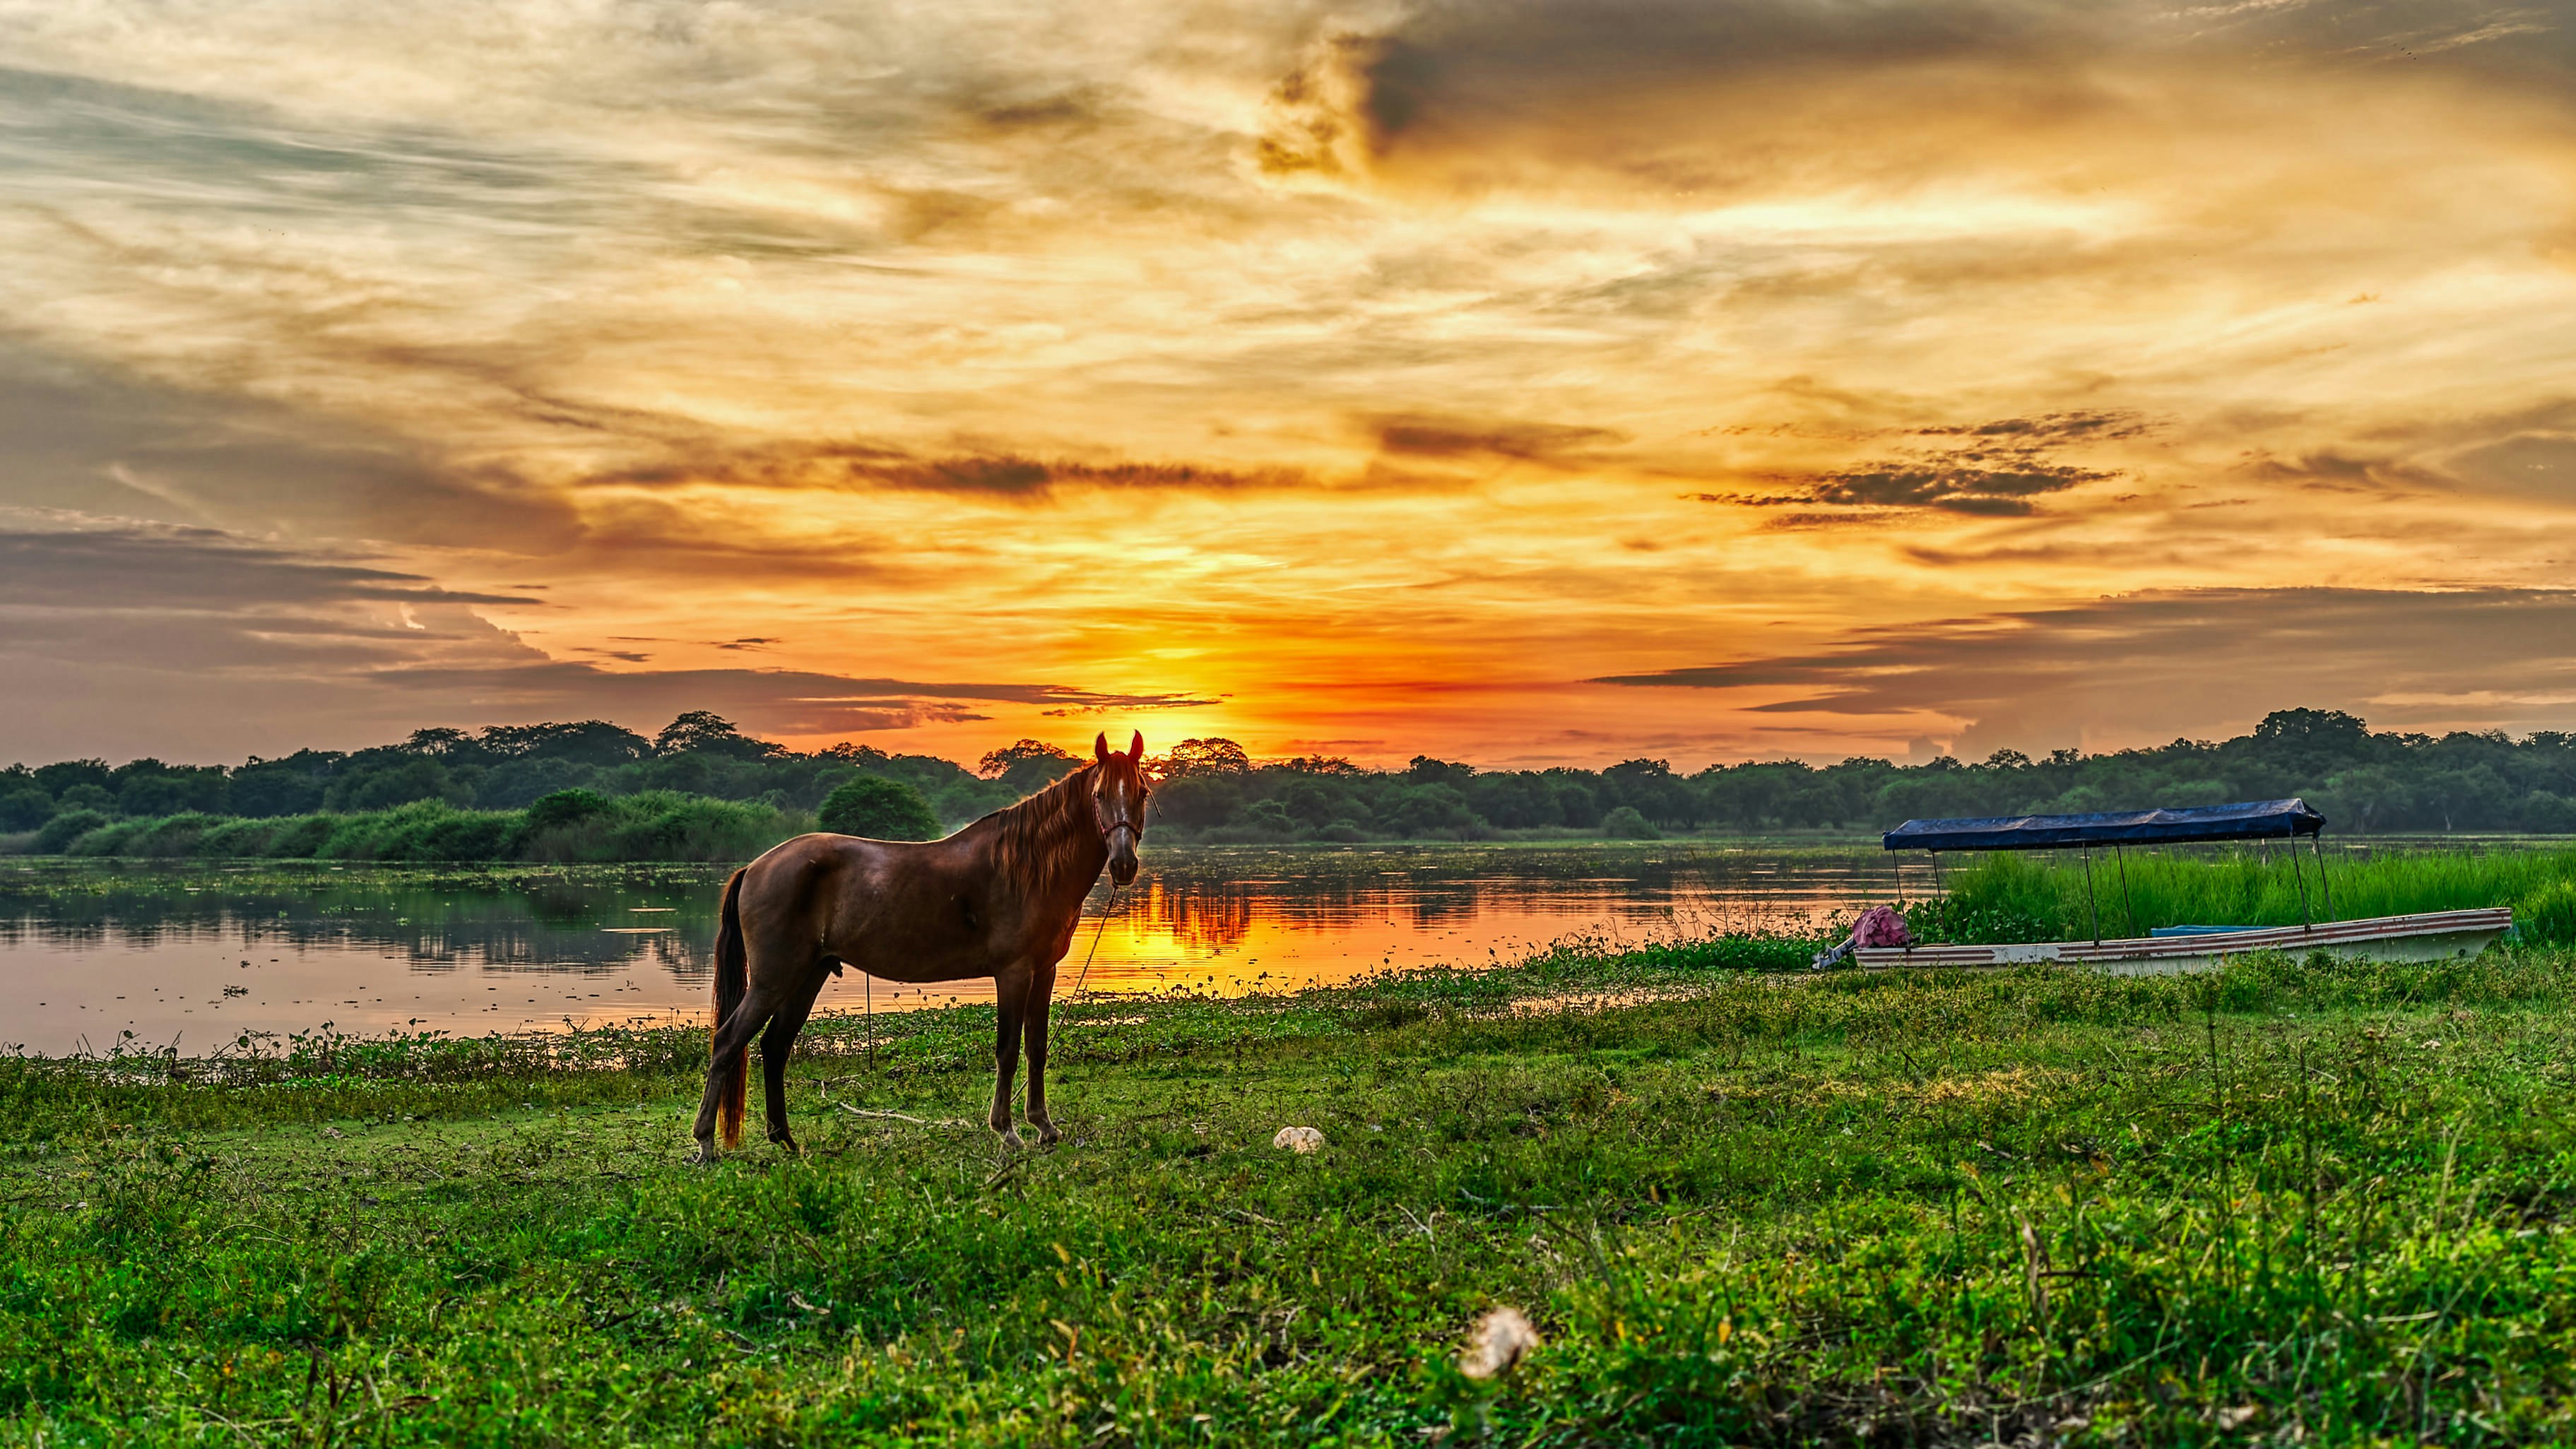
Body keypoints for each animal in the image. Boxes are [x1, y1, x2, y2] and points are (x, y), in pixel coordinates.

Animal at [690, 731, 1150, 1162]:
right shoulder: (1014, 972)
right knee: (727, 1042)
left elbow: (1036, 1047)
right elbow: (1007, 1049)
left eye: (1142, 793)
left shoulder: (1044, 971)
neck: (1028, 866)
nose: (1124, 864)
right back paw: (706, 1143)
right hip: (773, 980)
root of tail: (755, 867)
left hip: (806, 976)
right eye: (1099, 795)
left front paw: (1043, 1126)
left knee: (774, 1047)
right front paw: (1006, 1130)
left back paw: (784, 1139)